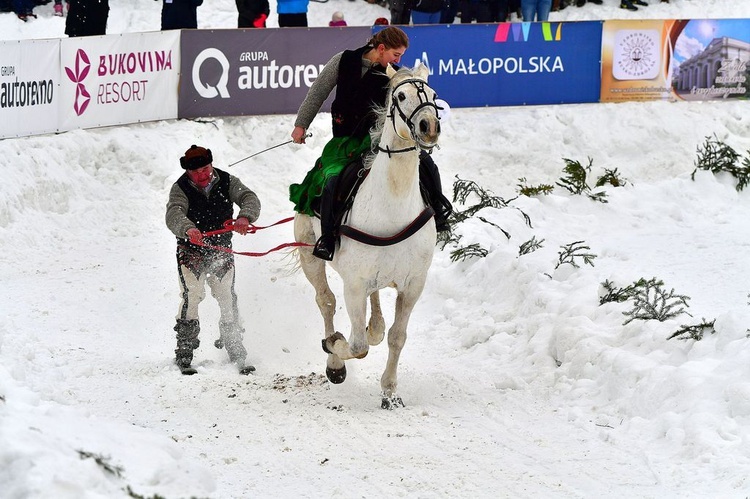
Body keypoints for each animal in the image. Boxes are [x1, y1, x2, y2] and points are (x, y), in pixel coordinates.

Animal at [294, 64, 444, 410]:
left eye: (432, 94)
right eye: (400, 96)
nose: (429, 127)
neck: (392, 206)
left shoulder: (413, 284)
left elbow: (397, 337)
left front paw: (390, 392)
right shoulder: (354, 284)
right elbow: (356, 345)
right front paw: (335, 350)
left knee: (375, 316)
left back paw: (374, 325)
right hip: (308, 254)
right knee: (325, 301)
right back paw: (334, 358)